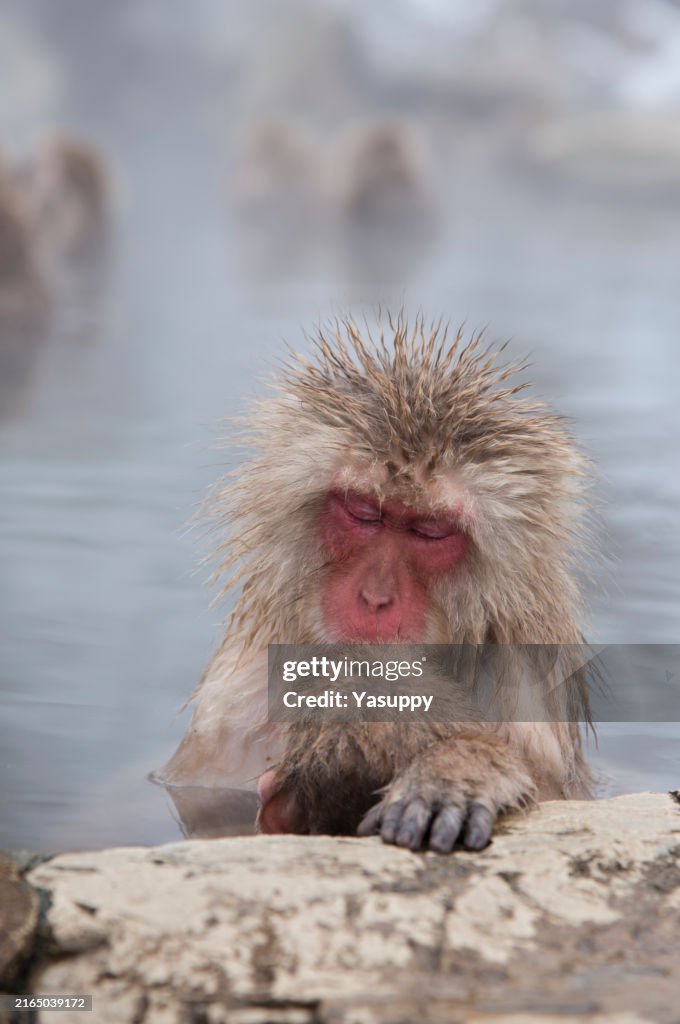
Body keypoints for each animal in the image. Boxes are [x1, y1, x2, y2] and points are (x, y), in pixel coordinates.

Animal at [155, 315, 593, 852]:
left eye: (430, 530)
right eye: (364, 511)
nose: (376, 598)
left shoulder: (527, 677)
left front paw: (457, 772)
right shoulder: (232, 700)